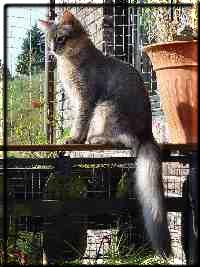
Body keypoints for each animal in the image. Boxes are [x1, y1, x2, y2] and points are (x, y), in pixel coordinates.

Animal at [38, 8, 172, 260]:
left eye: (61, 39)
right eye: (49, 41)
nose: (53, 50)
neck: (71, 63)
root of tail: (148, 133)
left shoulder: (86, 98)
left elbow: (80, 122)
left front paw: (75, 139)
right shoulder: (76, 99)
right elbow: (81, 122)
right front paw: (77, 138)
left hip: (107, 106)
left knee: (124, 140)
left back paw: (96, 139)